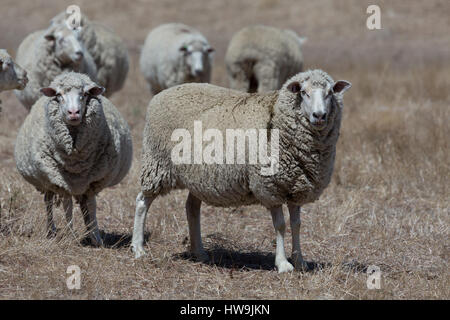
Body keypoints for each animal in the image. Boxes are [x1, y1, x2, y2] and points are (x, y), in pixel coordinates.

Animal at [14, 72, 133, 245]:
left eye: (85, 94)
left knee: (84, 205)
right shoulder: (61, 182)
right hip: (47, 180)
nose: (74, 113)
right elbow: (67, 207)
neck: (76, 161)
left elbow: (91, 206)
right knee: (48, 201)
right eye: (58, 95)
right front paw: (70, 235)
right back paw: (51, 230)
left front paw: (96, 238)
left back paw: (88, 230)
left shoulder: (93, 181)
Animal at [131, 68, 352, 272]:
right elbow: (280, 225)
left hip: (198, 177)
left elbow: (296, 224)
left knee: (192, 208)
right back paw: (138, 248)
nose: (319, 115)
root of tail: (160, 95)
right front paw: (283, 264)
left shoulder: (296, 186)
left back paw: (199, 252)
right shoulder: (269, 187)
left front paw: (299, 261)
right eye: (304, 92)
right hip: (157, 164)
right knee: (142, 202)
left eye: (330, 93)